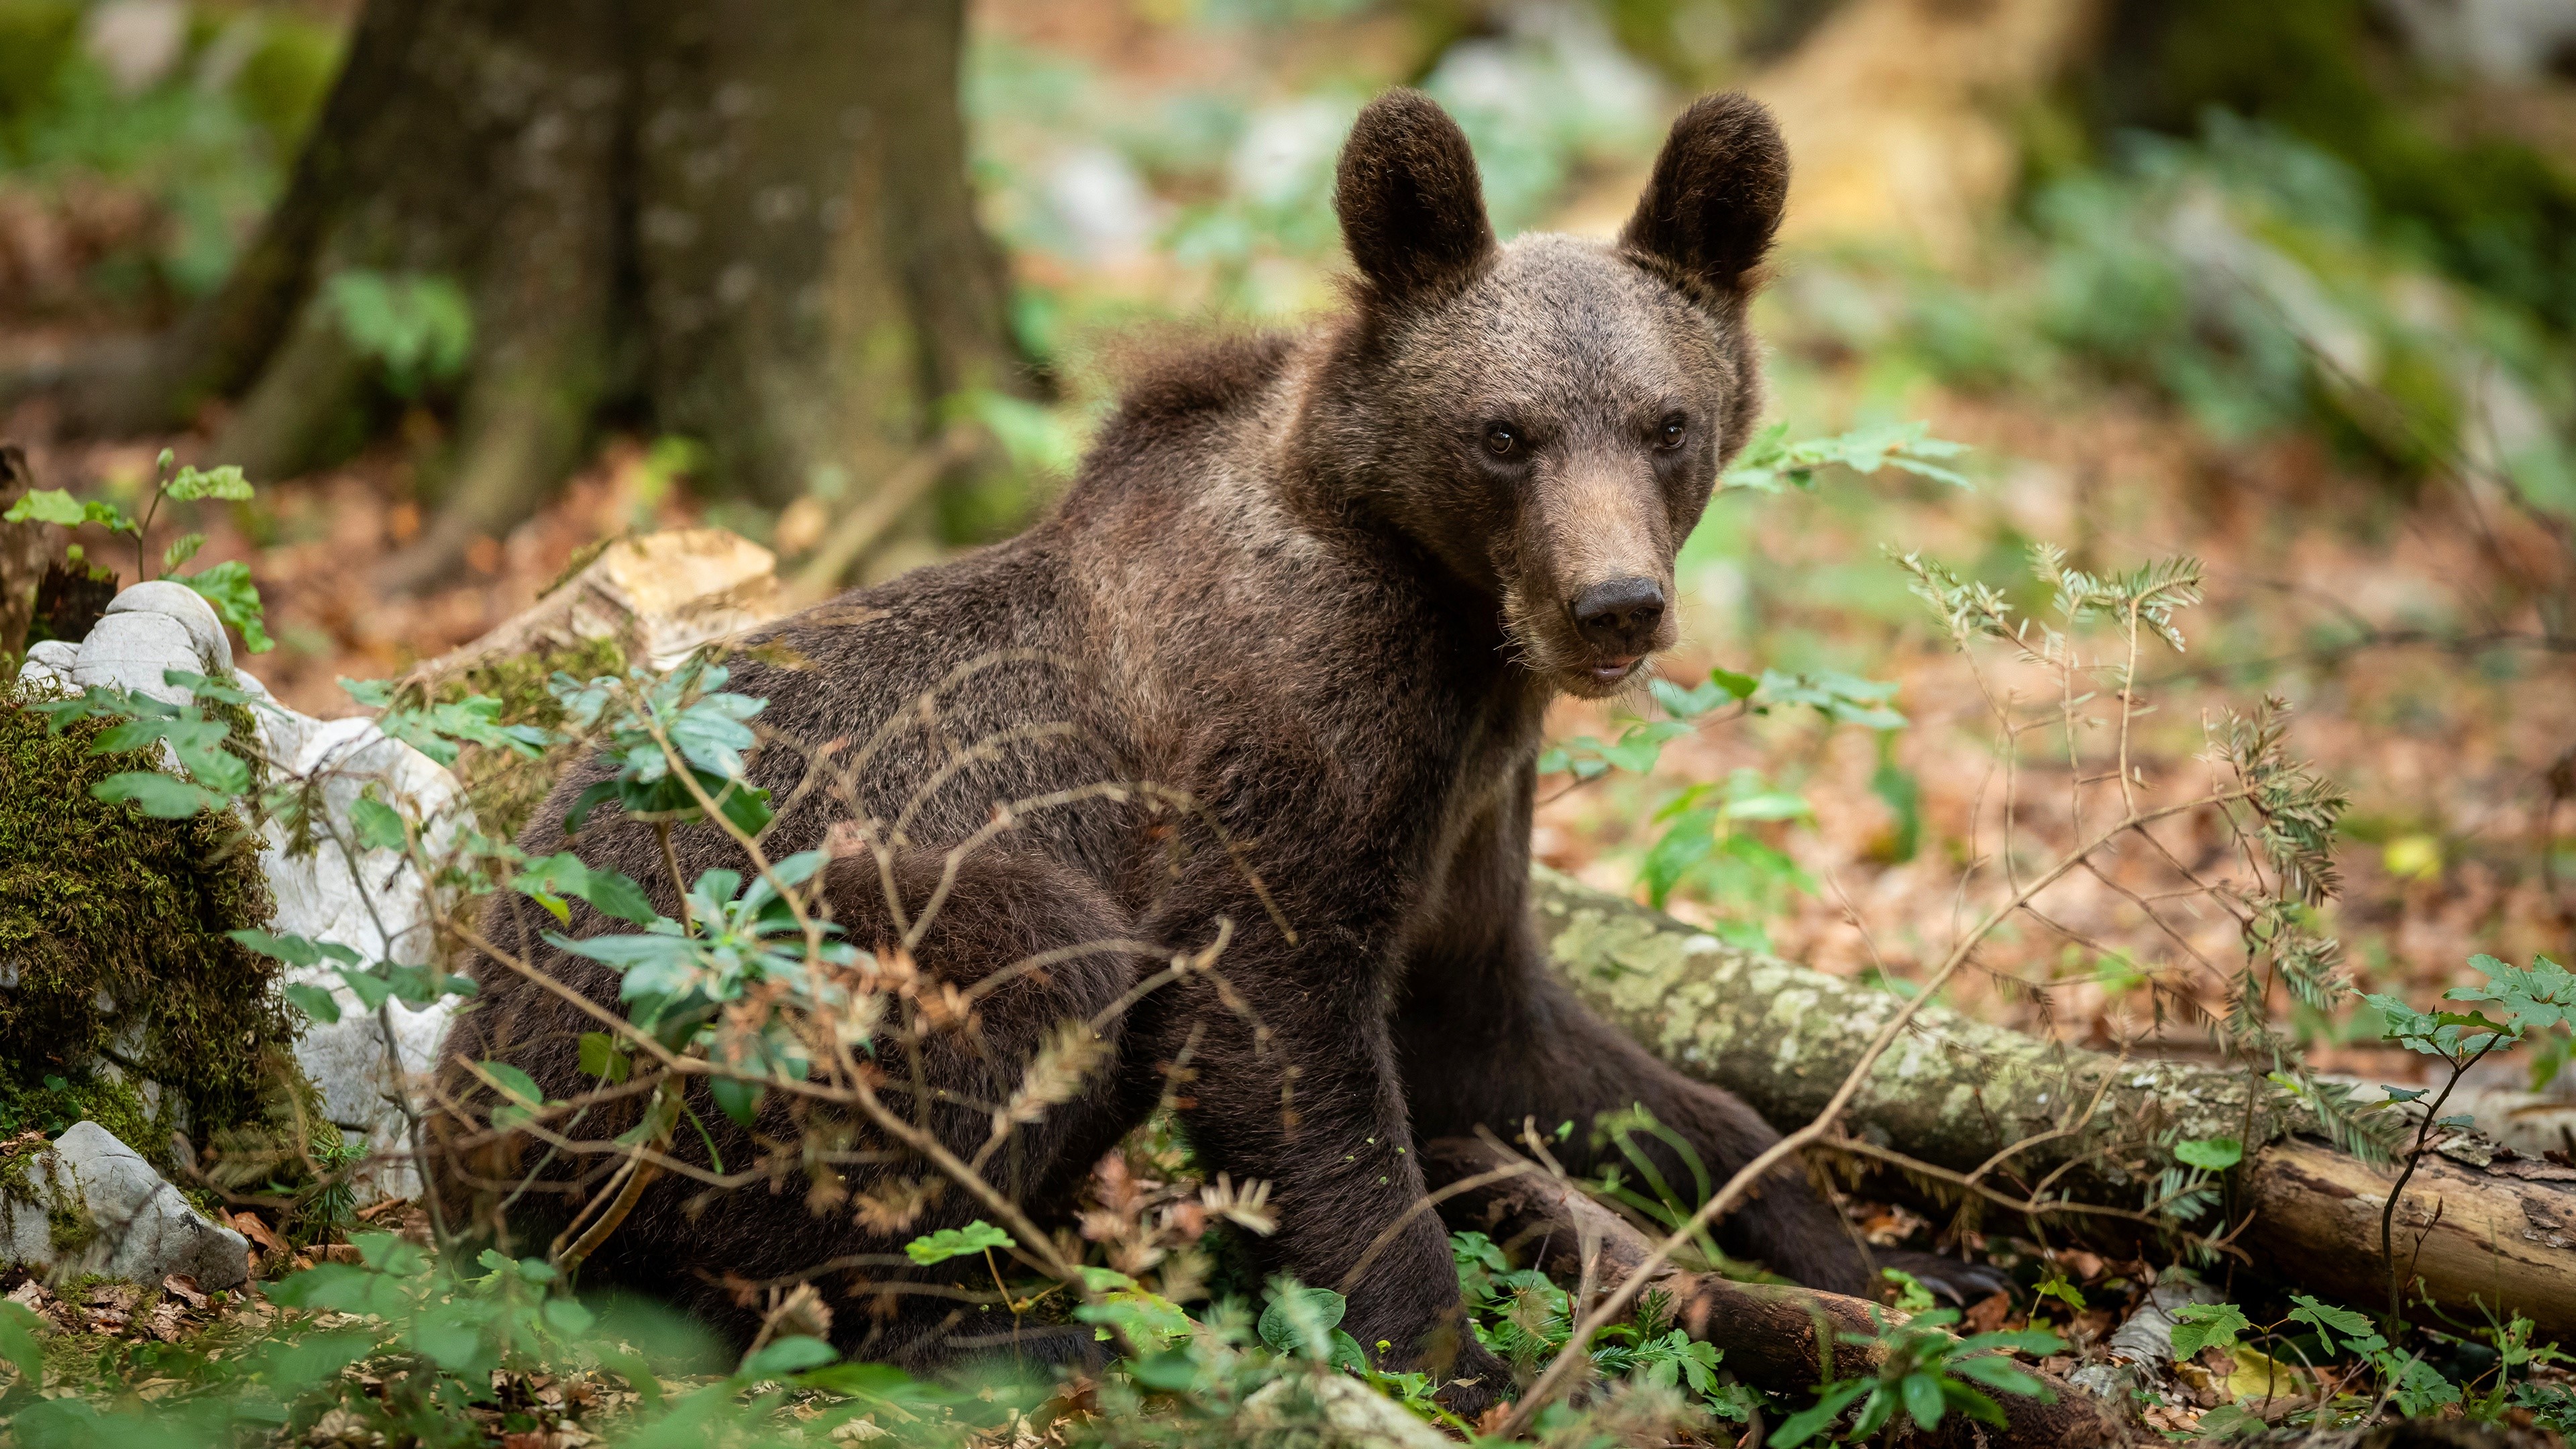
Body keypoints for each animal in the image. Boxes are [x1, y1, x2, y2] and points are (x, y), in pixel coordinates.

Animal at [433, 88, 1980, 1413]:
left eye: (1668, 422)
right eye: (1505, 432)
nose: (1614, 605)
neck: (1454, 629)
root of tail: (463, 1110)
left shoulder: (1468, 800)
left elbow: (1531, 1047)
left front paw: (1881, 1257)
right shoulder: (1294, 744)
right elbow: (1278, 1037)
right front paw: (1471, 1363)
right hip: (718, 979)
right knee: (991, 996)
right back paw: (999, 1328)